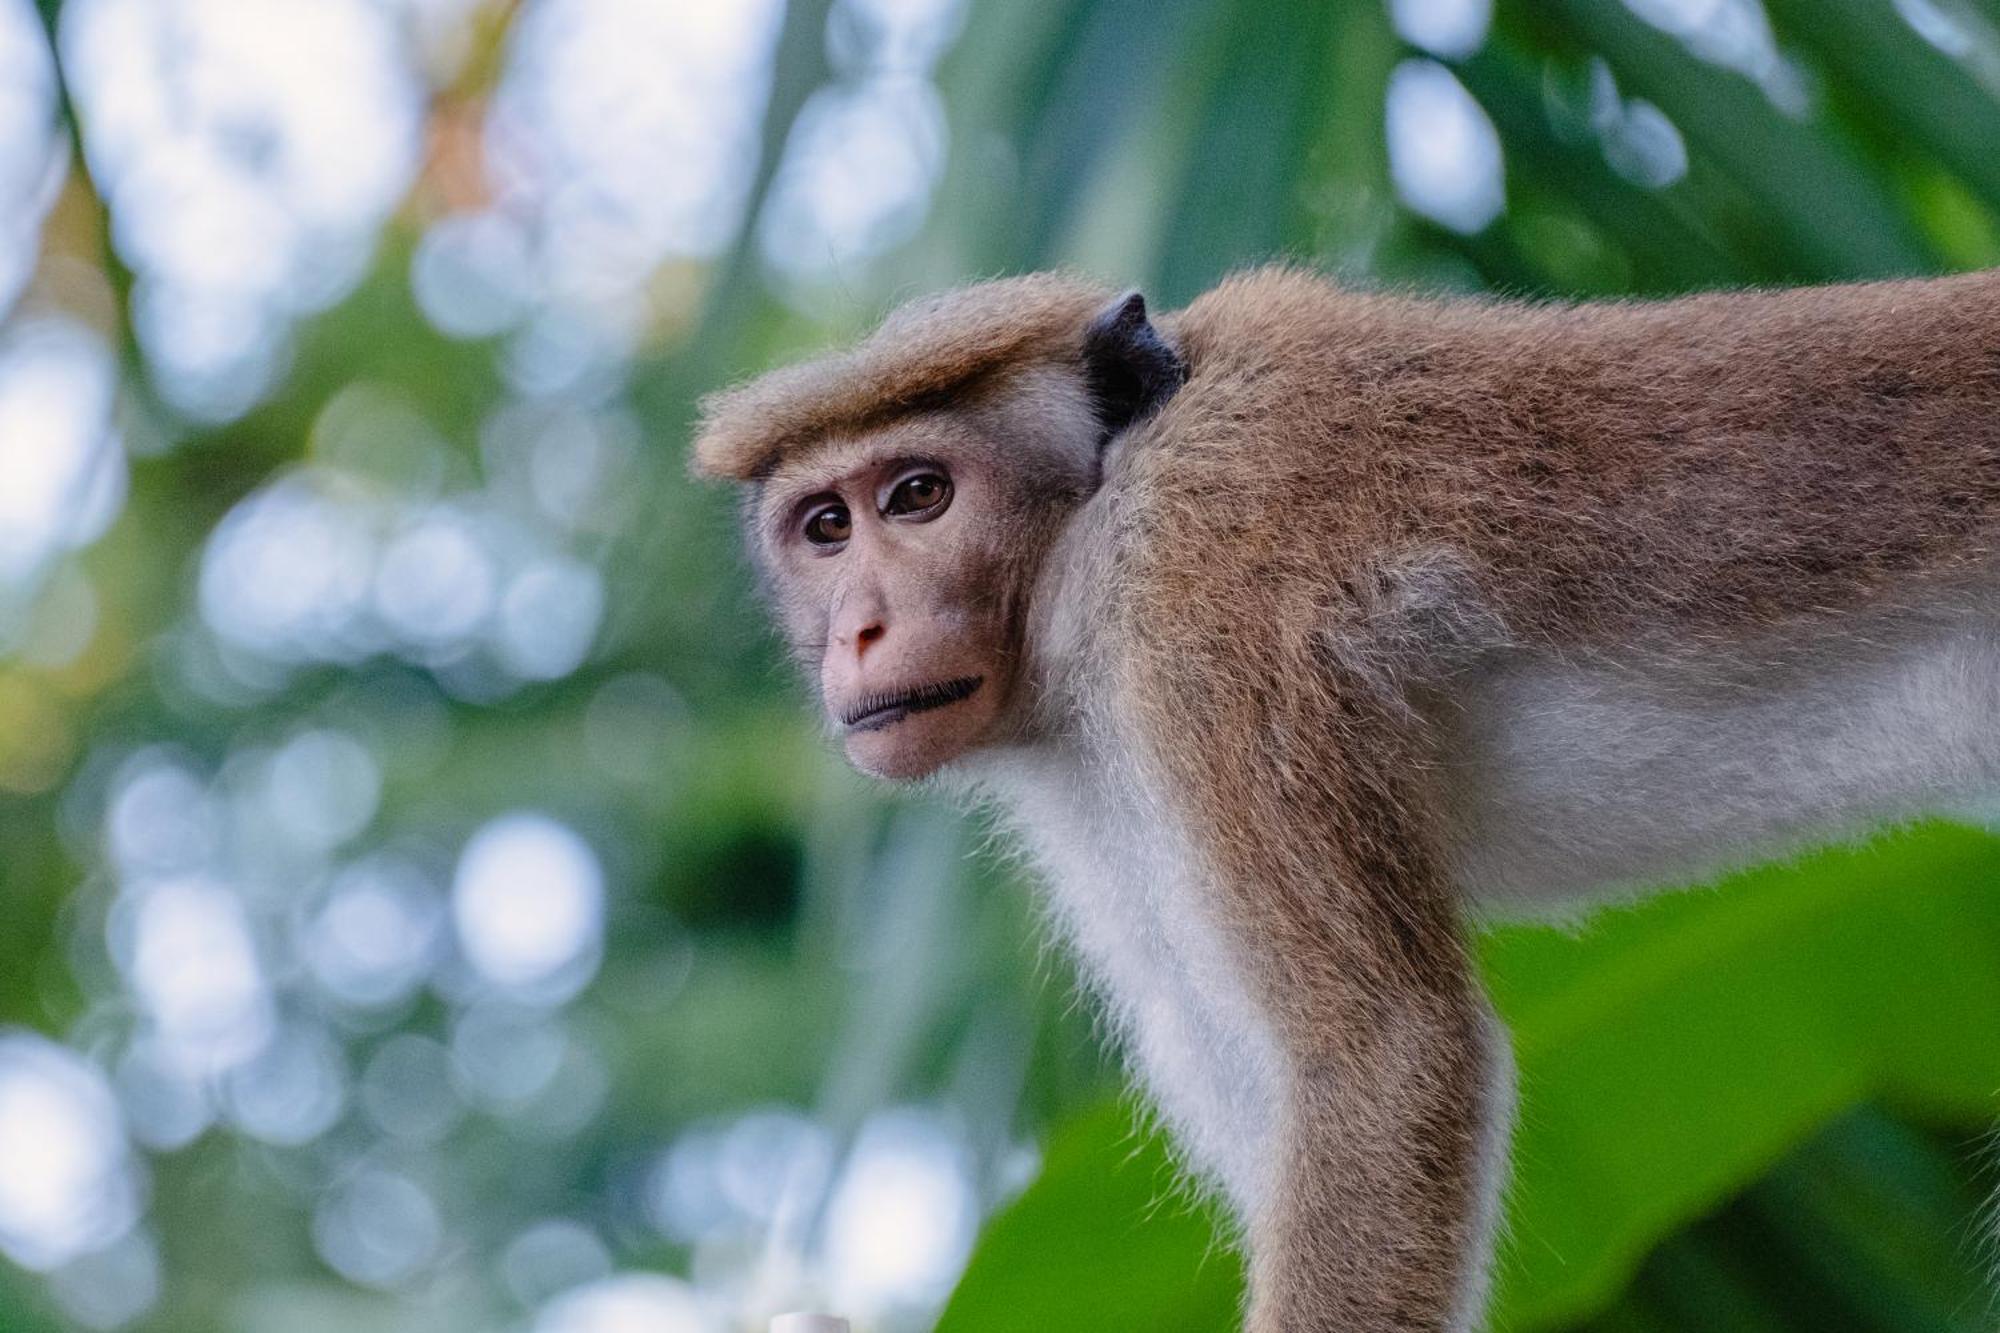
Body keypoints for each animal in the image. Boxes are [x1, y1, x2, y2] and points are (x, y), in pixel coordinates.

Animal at [696, 264, 2000, 1320]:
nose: (859, 630)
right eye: (824, 525)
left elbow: (1384, 1059)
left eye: (918, 494)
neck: (1089, 525)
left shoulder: (1198, 600)